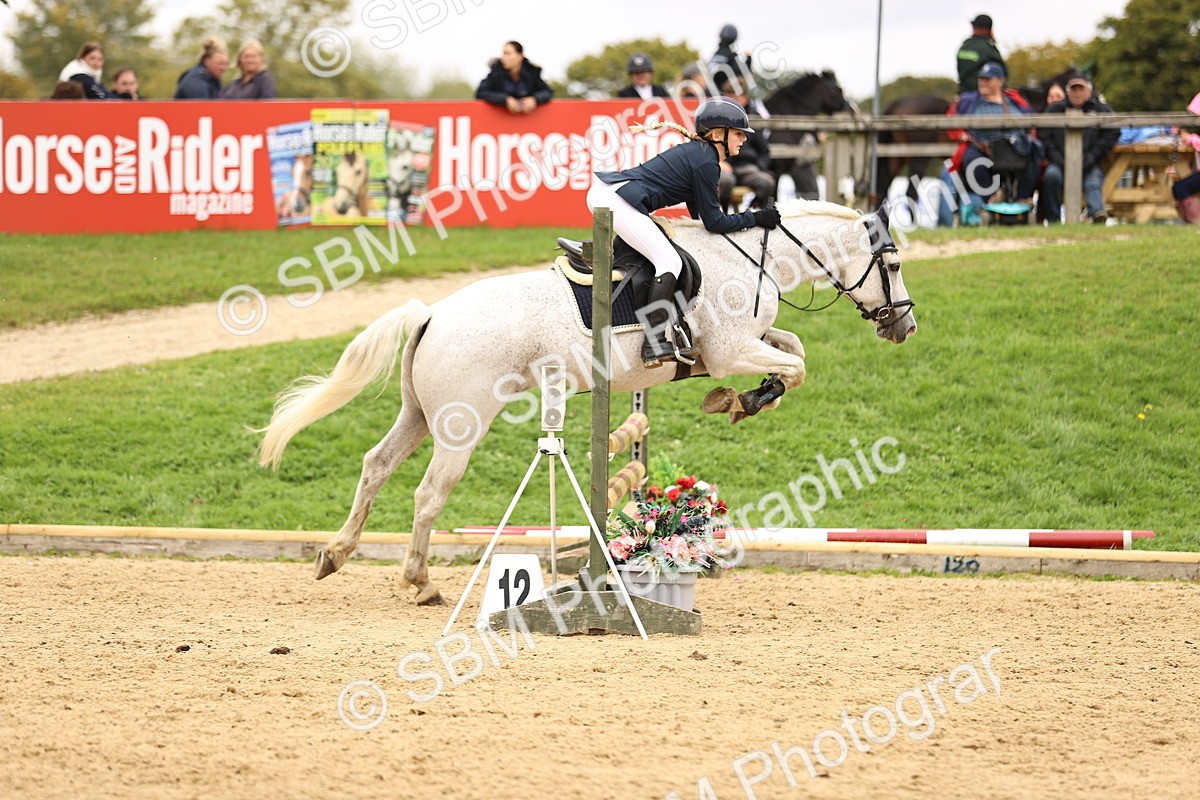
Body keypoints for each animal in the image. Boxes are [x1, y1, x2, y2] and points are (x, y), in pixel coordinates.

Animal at [257, 200, 917, 605]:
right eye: (893, 262)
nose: (904, 327)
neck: (750, 259)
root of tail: (433, 312)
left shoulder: (734, 348)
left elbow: (794, 350)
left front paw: (736, 400)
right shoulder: (732, 351)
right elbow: (795, 366)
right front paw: (741, 400)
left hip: (419, 415)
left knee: (376, 465)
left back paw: (335, 554)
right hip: (461, 423)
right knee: (428, 492)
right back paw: (419, 582)